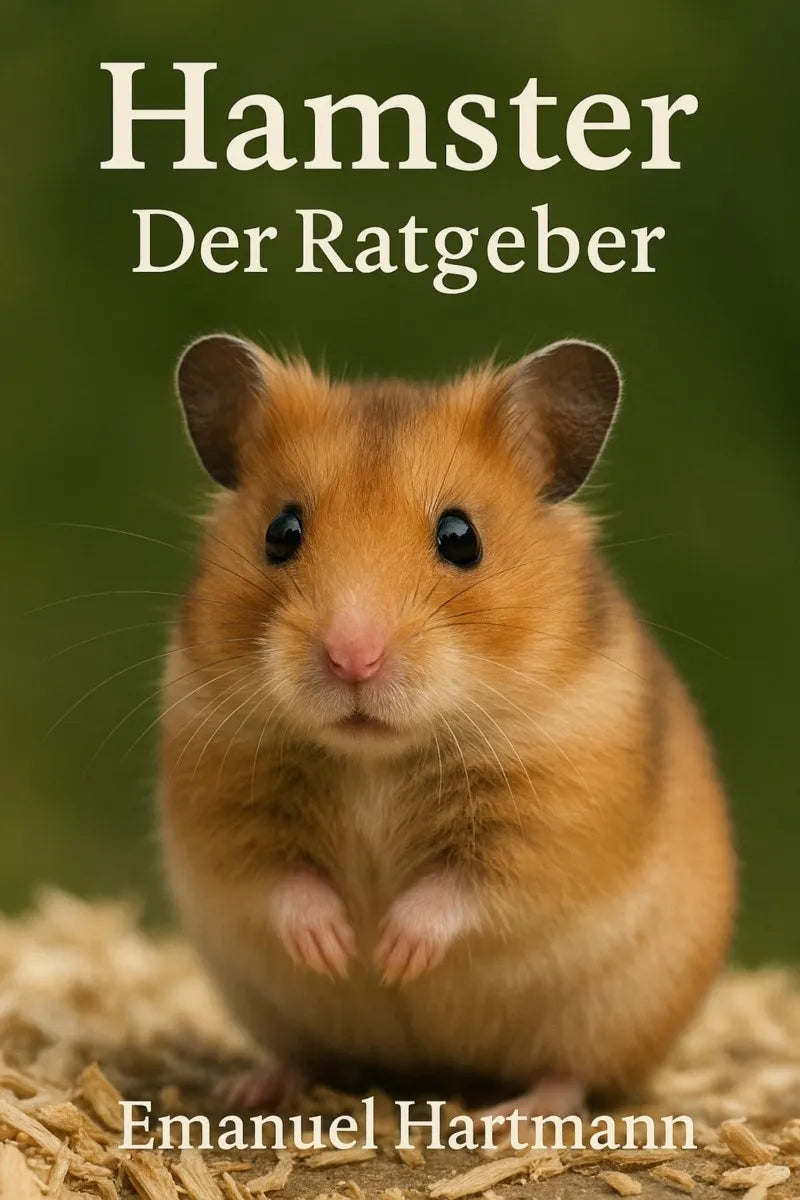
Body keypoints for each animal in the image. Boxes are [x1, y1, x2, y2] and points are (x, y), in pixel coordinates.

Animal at [158, 333, 736, 1115]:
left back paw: (512, 1116)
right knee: (304, 1054)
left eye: (461, 537)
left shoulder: (553, 816)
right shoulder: (221, 789)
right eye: (282, 532)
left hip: (614, 1017)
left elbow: (462, 889)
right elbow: (279, 877)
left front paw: (391, 954)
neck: (374, 757)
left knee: (572, 1074)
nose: (353, 657)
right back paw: (249, 1086)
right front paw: (339, 947)